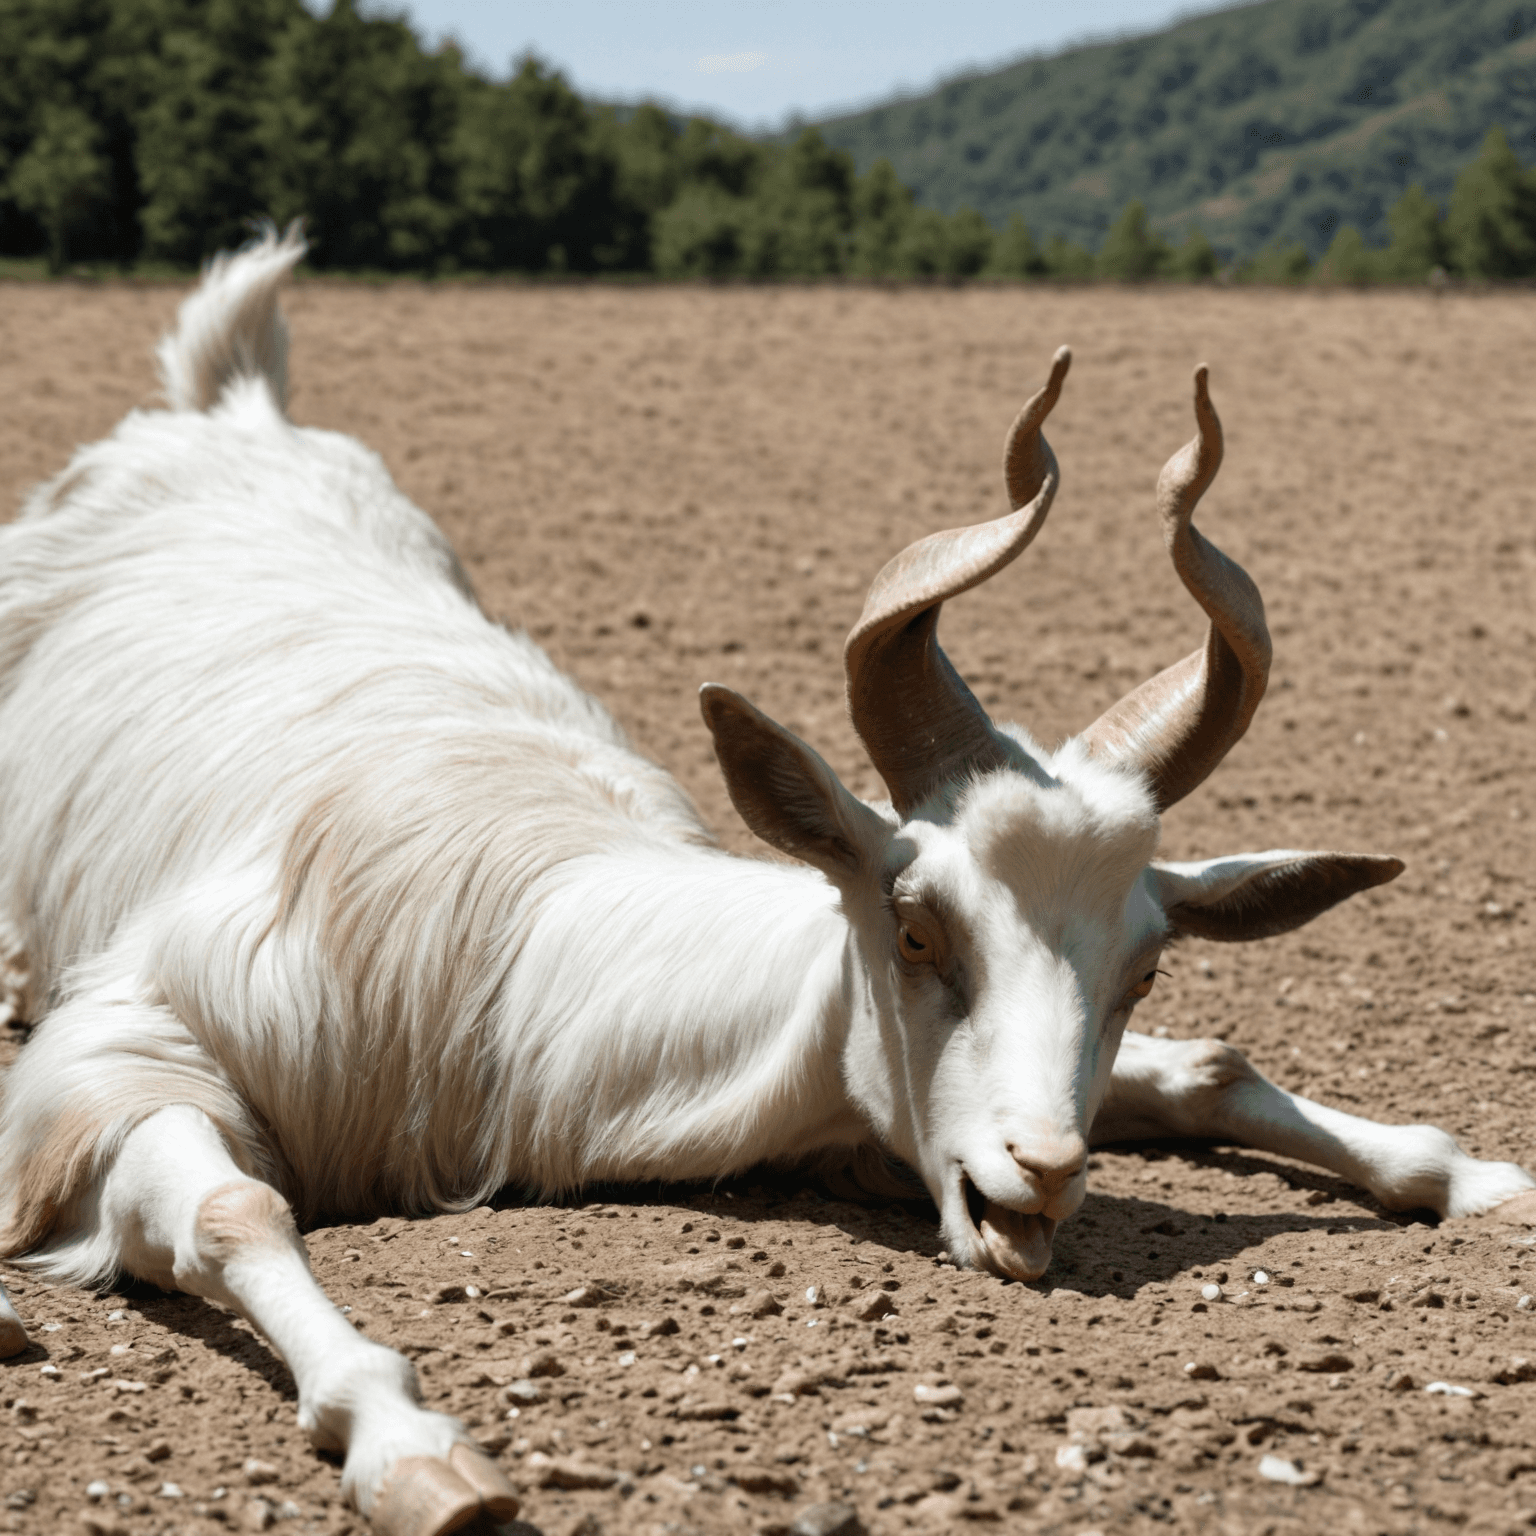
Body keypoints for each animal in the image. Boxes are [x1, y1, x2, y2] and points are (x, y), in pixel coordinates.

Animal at [0, 230, 1530, 1535]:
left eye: (1146, 963)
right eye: (914, 930)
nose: (1038, 1180)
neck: (520, 967)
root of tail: (227, 409)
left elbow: (1208, 1067)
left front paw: (1475, 1178)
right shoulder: (120, 1058)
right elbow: (231, 1207)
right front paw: (419, 1454)